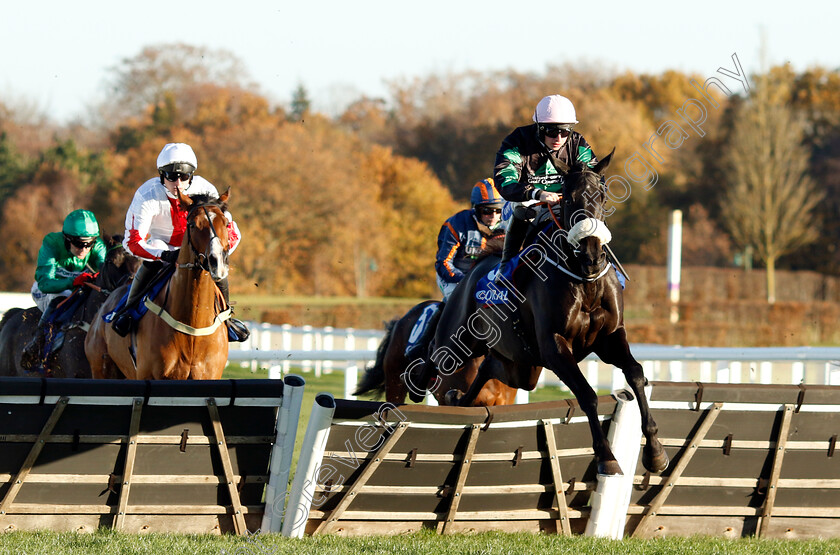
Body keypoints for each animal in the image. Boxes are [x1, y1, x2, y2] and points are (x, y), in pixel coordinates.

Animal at [85, 192, 233, 382]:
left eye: (226, 223)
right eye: (192, 224)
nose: (217, 262)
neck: (193, 326)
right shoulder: (149, 375)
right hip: (102, 368)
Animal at [420, 150, 668, 476]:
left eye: (601, 196)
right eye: (568, 199)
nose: (592, 255)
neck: (583, 279)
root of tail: (474, 270)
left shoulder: (610, 337)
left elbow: (637, 374)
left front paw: (655, 452)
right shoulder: (555, 346)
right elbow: (587, 394)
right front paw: (607, 457)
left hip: (521, 363)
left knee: (490, 367)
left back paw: (458, 397)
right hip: (458, 342)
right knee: (437, 360)